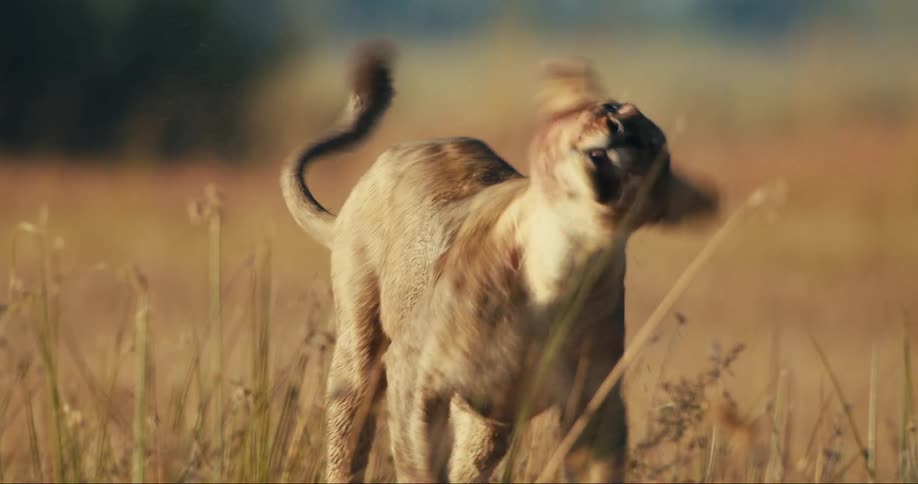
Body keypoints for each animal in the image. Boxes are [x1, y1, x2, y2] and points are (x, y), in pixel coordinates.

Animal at [281, 42, 718, 483]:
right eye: (609, 107)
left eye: (651, 147)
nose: (615, 129)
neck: (560, 259)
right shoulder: (411, 369)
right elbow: (417, 461)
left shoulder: (593, 403)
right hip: (360, 352)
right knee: (349, 437)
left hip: (489, 420)